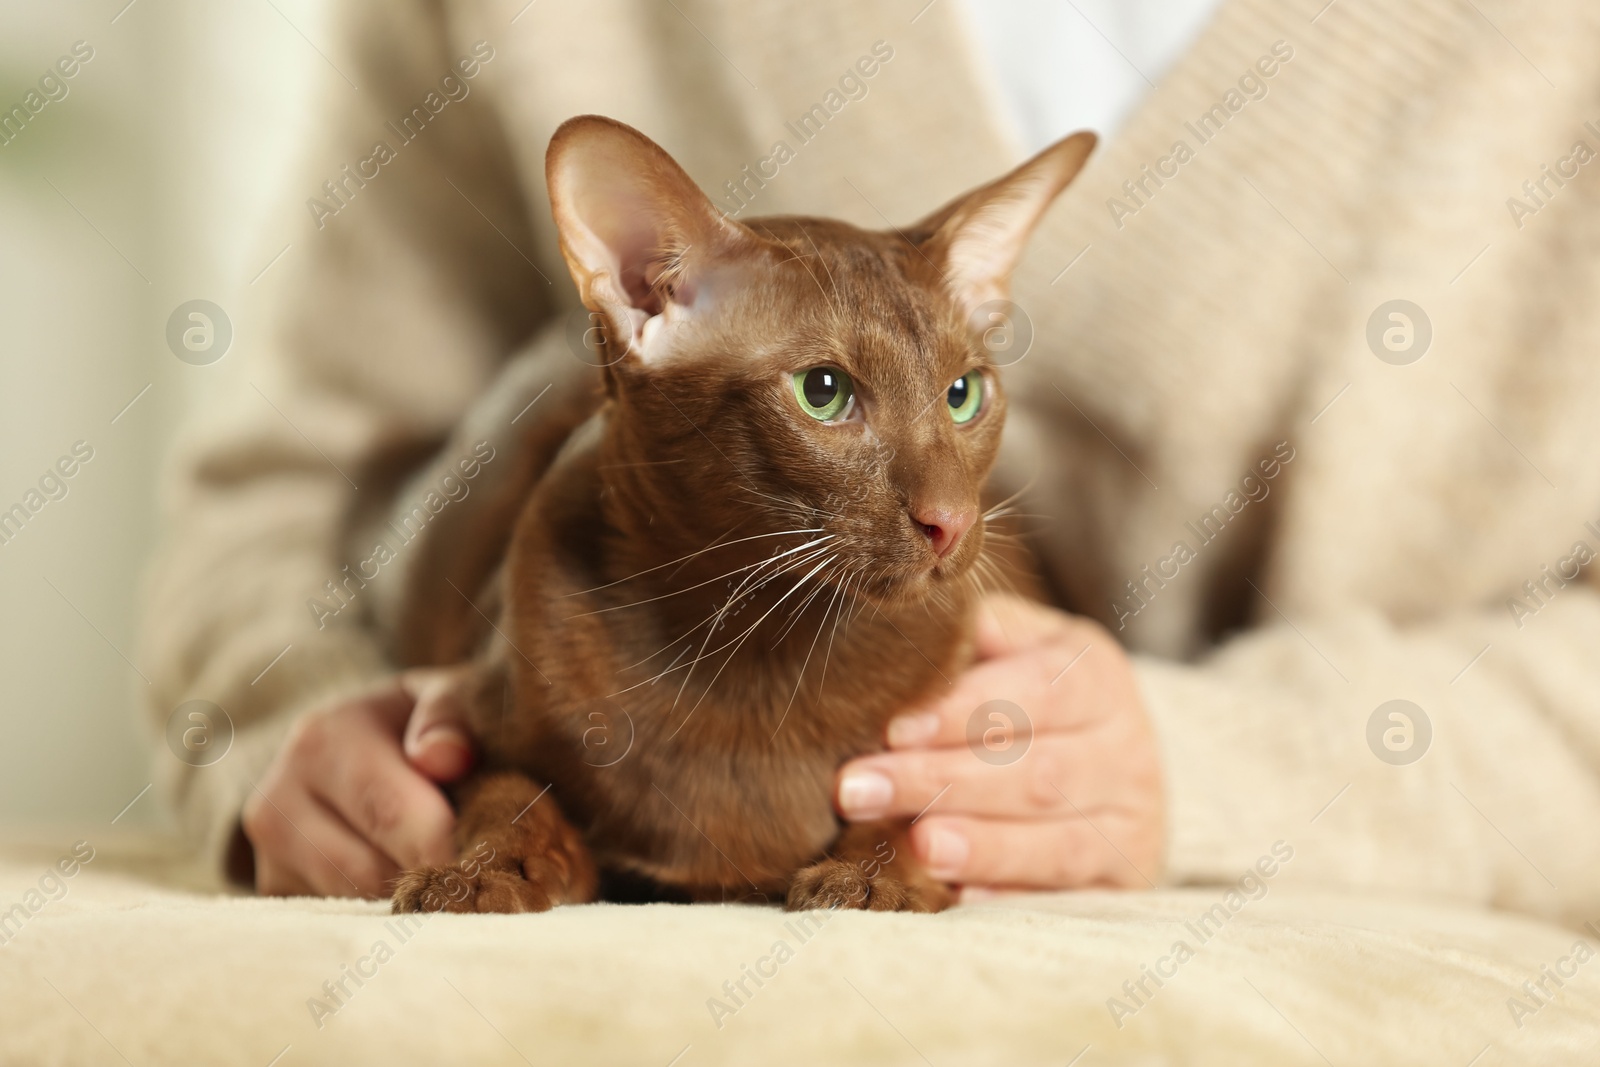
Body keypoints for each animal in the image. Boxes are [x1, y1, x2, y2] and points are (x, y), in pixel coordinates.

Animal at [388, 116, 1094, 921]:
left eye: (963, 394)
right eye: (823, 391)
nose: (950, 520)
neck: (756, 640)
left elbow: (908, 810)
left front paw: (870, 880)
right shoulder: (481, 725)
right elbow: (508, 801)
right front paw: (471, 878)